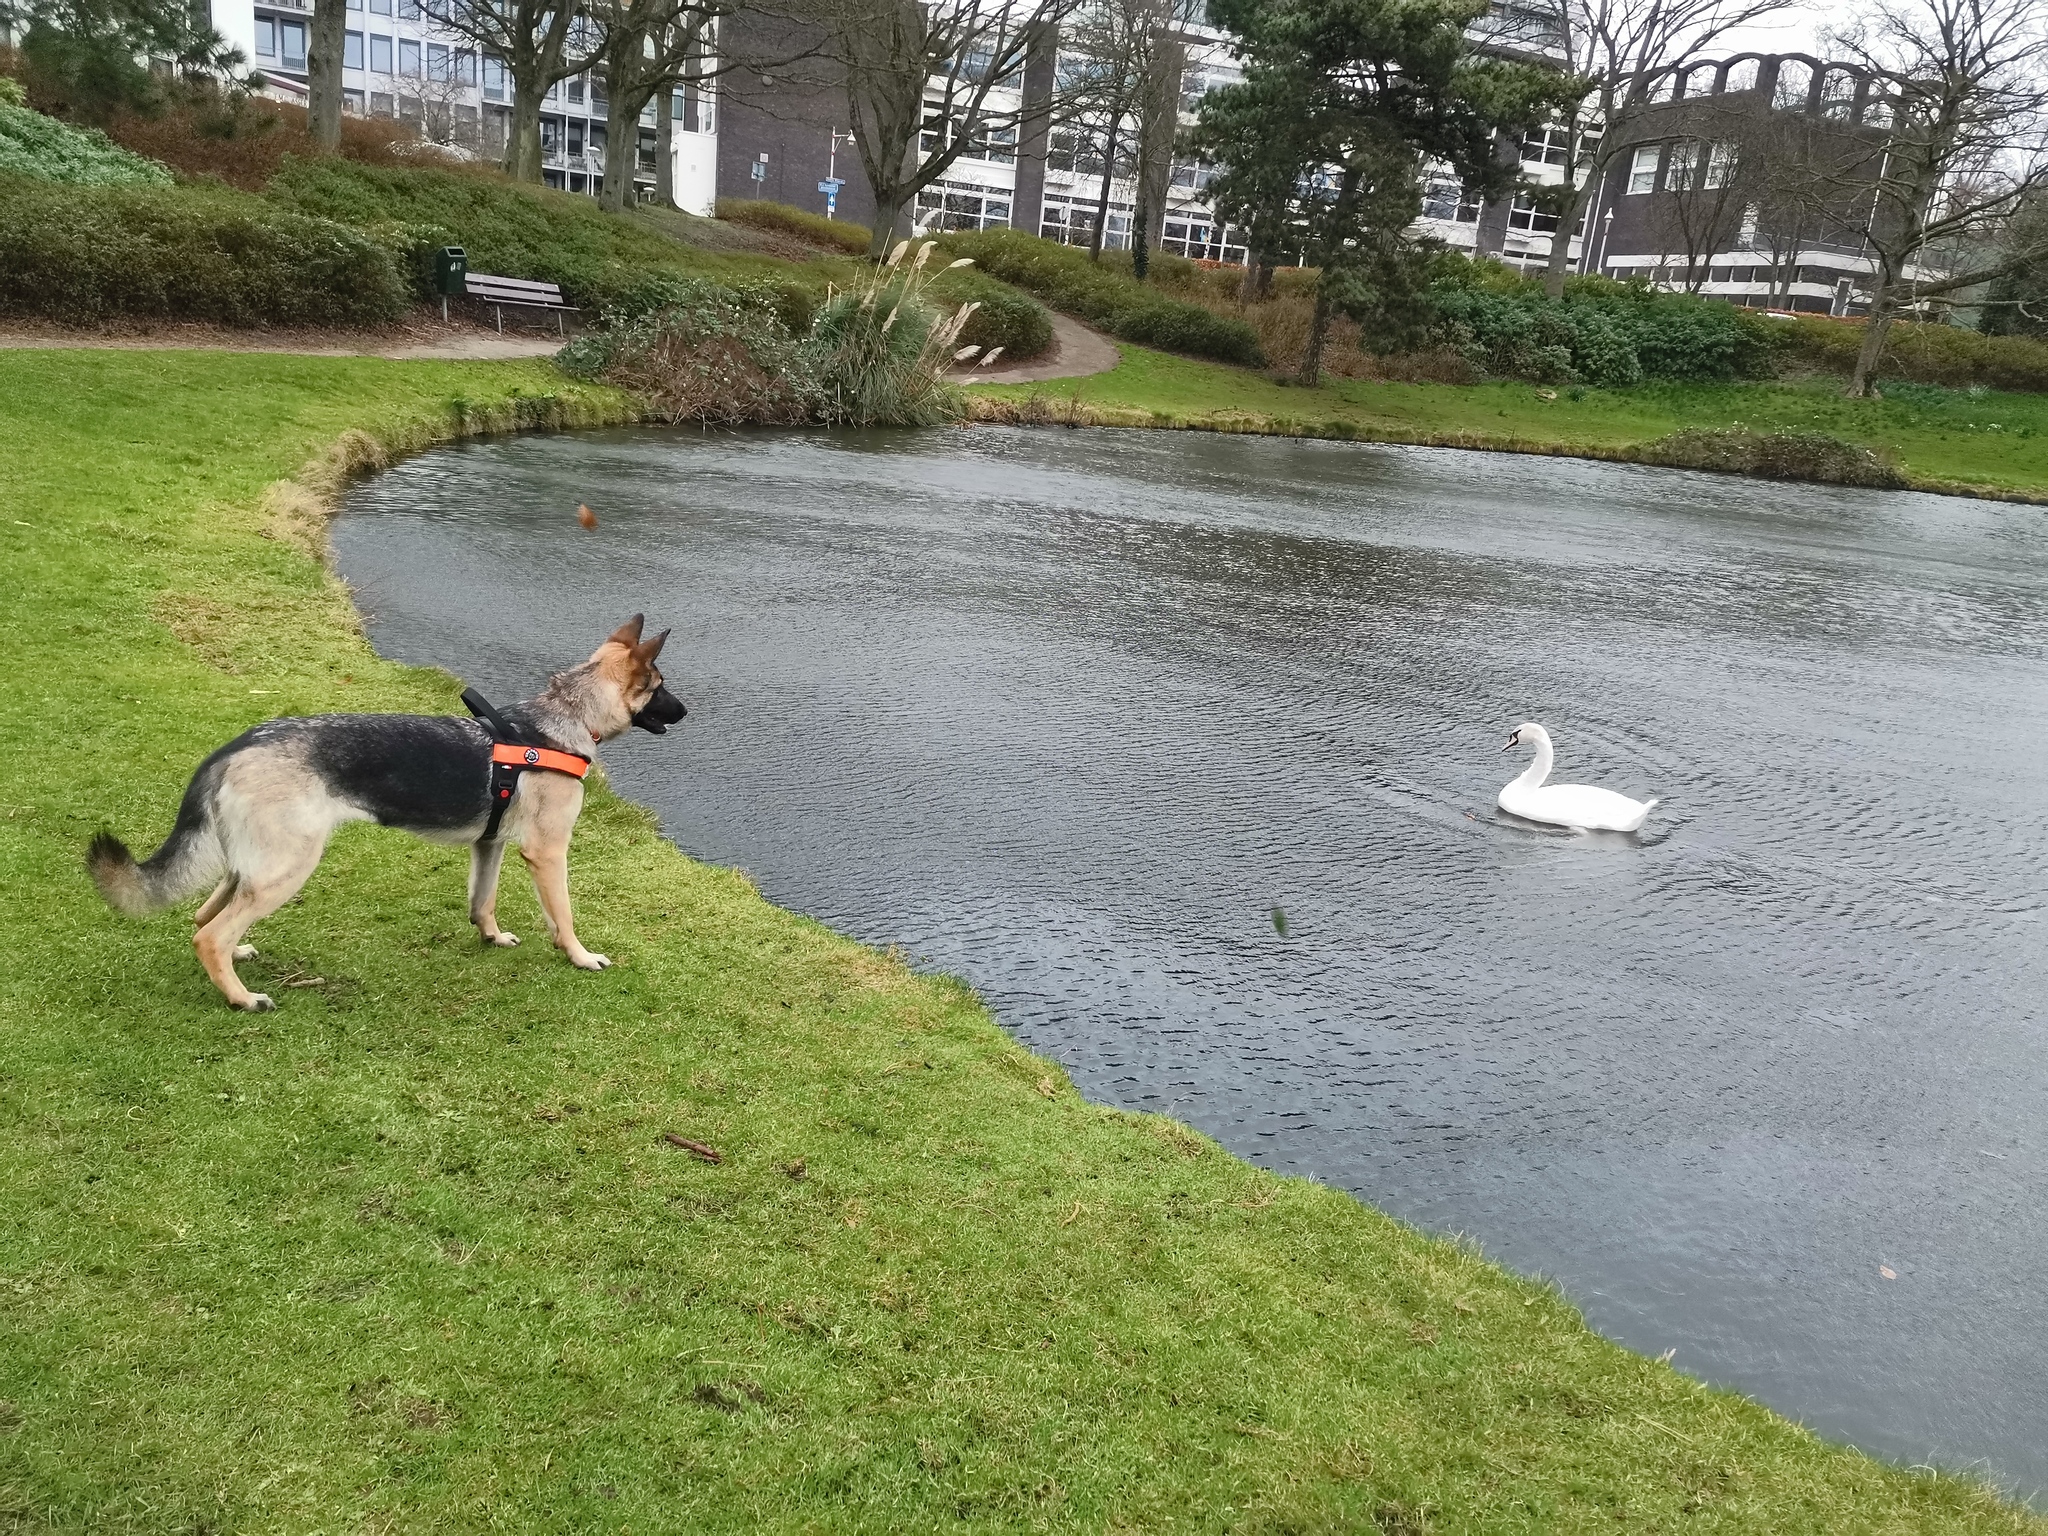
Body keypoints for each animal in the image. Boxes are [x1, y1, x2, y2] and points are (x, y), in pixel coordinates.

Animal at [88, 618, 684, 1015]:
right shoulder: (547, 853)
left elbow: (483, 901)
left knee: (205, 916)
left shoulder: (488, 844)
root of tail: (238, 746)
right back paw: (242, 997)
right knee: (208, 935)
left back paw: (238, 957)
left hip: (254, 864)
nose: (688, 712)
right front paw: (579, 956)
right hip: (288, 868)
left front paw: (491, 937)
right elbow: (563, 916)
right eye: (660, 688)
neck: (562, 720)